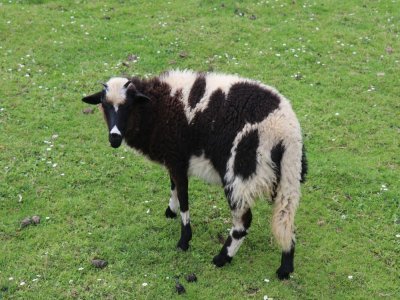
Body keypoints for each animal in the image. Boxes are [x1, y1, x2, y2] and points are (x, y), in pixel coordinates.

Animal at [80, 69, 306, 278]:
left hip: (240, 173)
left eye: (128, 105)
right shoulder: (173, 159)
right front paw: (170, 211)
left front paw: (184, 240)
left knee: (243, 222)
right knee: (286, 217)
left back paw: (222, 258)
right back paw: (285, 267)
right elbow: (173, 186)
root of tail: (287, 133)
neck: (158, 108)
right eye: (104, 105)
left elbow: (183, 197)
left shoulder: (177, 157)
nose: (114, 138)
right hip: (287, 174)